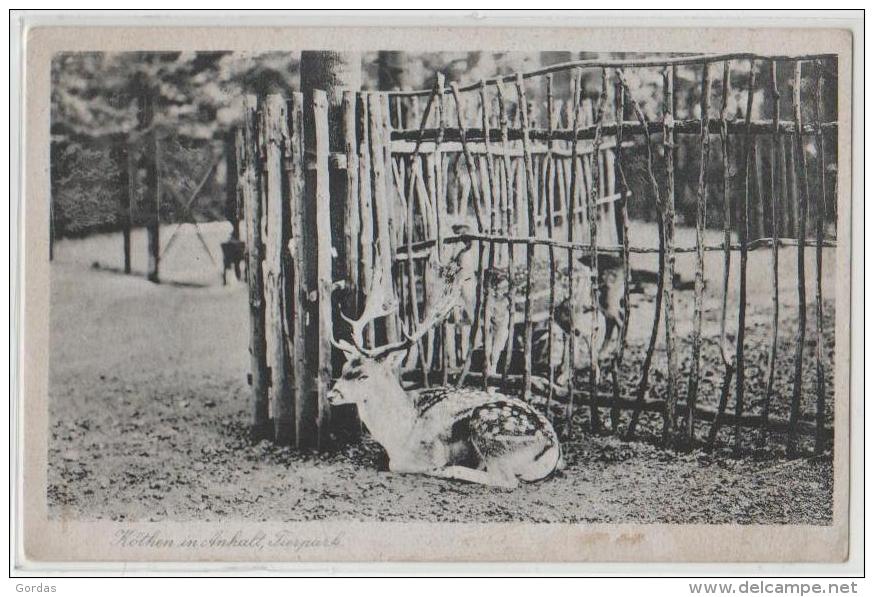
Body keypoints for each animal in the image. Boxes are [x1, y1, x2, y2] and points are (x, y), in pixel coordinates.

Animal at [326, 264, 560, 486]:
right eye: (343, 369)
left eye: (364, 376)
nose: (331, 395)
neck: (399, 433)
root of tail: (553, 447)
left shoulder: (429, 451)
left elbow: (396, 464)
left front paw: (438, 466)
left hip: (488, 428)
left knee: (505, 480)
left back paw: (448, 470)